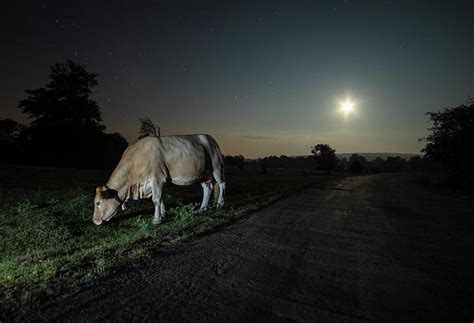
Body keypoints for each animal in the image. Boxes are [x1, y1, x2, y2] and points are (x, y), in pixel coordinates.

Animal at [93, 134, 227, 225]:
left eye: (98, 203)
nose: (94, 220)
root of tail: (209, 138)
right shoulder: (157, 182)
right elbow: (161, 198)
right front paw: (163, 214)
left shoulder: (157, 178)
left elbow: (156, 199)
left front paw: (156, 220)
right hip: (205, 173)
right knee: (207, 188)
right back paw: (202, 208)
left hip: (217, 167)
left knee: (222, 184)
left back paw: (220, 203)